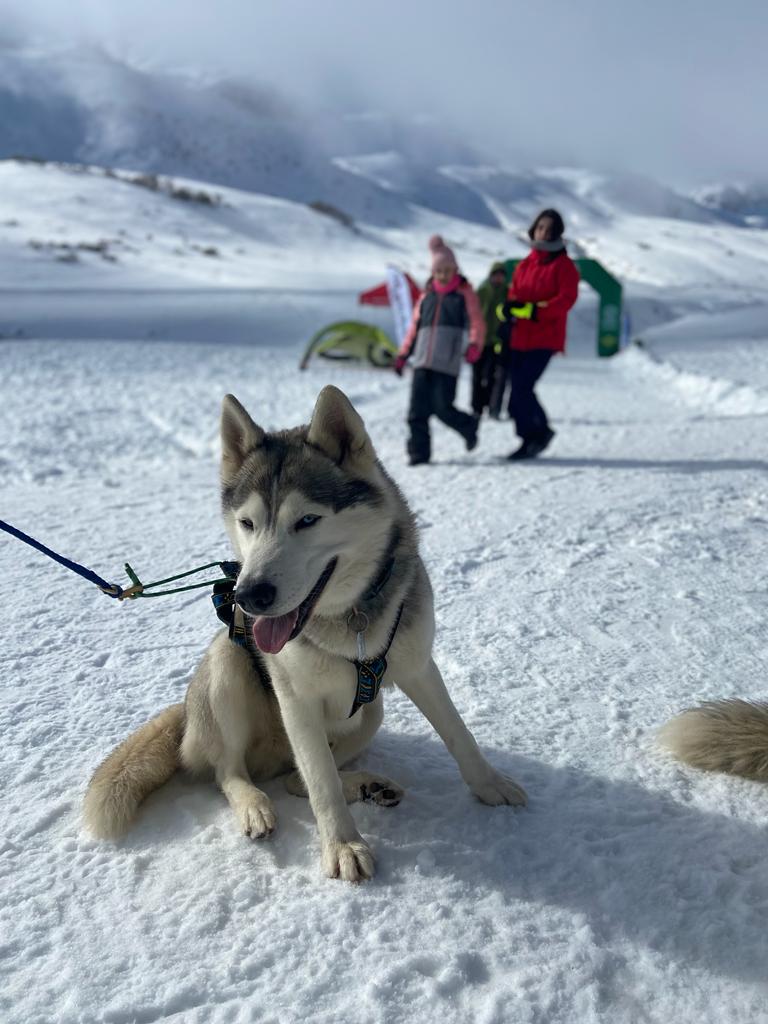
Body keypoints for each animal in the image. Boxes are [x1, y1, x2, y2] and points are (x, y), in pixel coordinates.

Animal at [85, 387, 528, 884]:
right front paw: (343, 844)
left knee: (296, 778)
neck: (350, 621)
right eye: (247, 523)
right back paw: (254, 804)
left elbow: (457, 733)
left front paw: (490, 786)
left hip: (370, 713)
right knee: (231, 772)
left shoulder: (418, 666)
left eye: (308, 520)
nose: (249, 595)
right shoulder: (295, 700)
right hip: (227, 667)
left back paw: (368, 785)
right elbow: (322, 785)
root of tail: (186, 717)